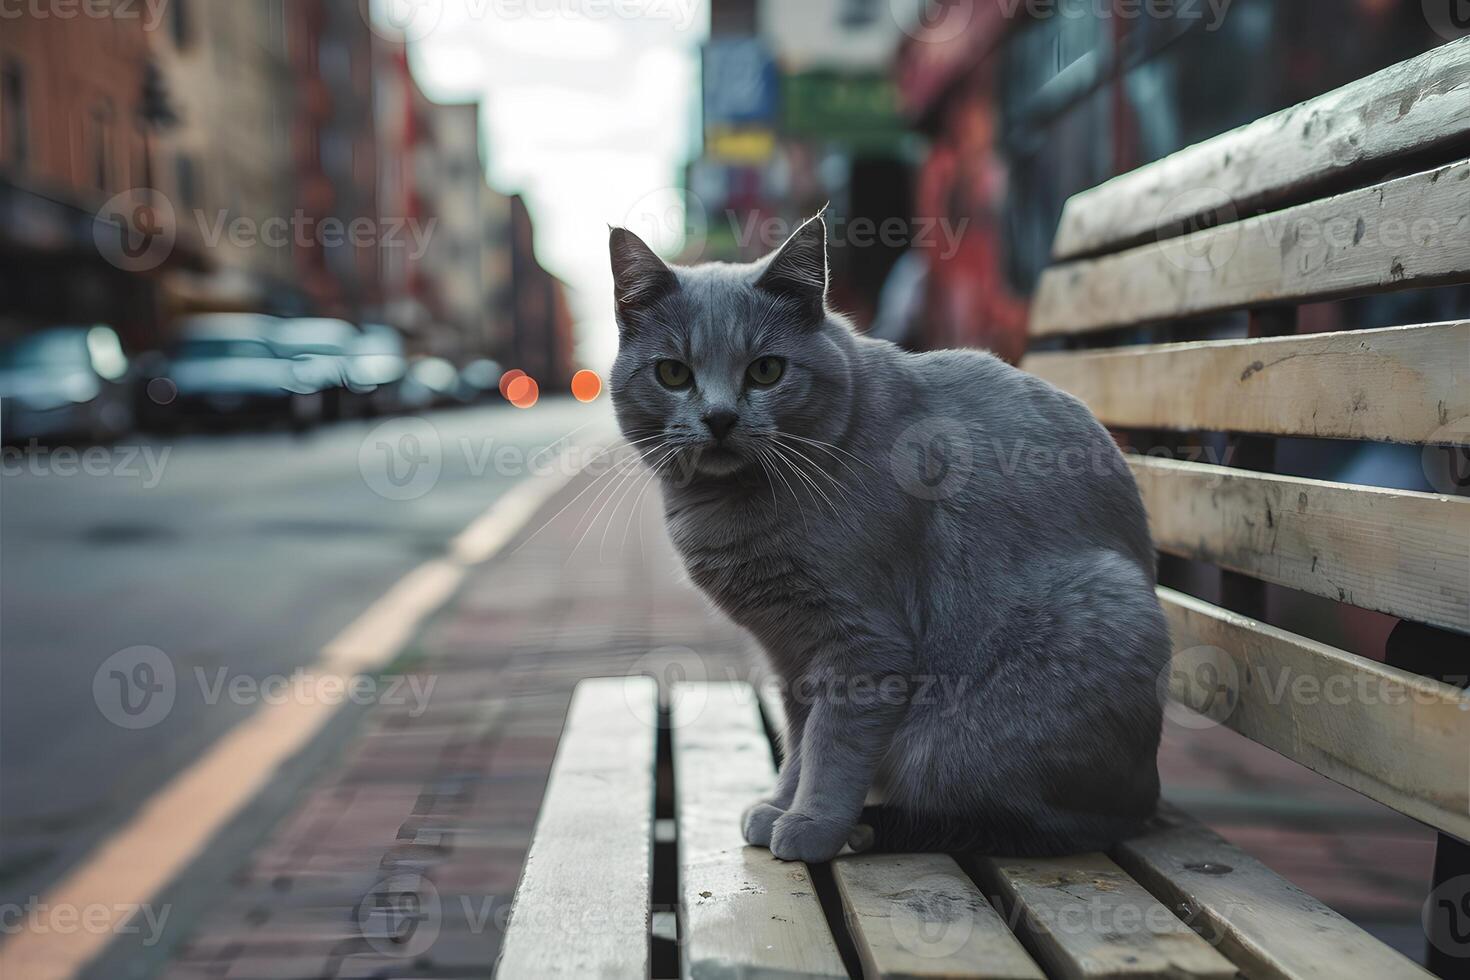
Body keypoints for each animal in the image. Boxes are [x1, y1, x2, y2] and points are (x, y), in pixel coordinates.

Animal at [602, 218, 1164, 863]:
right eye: (673, 372)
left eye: (766, 370)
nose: (720, 418)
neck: (731, 508)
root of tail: (1151, 789)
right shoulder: (790, 651)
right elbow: (799, 738)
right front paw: (779, 805)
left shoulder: (865, 645)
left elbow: (831, 747)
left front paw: (811, 824)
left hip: (1046, 669)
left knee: (1057, 826)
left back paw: (877, 828)